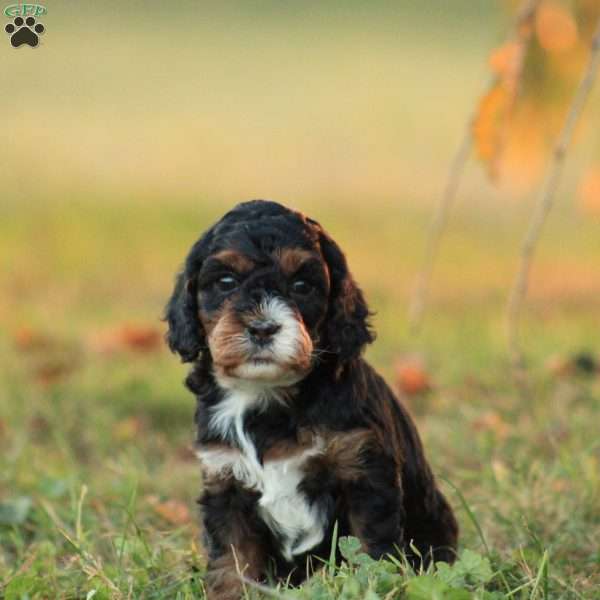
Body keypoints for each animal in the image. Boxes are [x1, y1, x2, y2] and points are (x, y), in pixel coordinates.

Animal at [163, 199, 454, 596]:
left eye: (301, 285)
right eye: (226, 282)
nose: (263, 328)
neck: (265, 396)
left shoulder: (365, 475)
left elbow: (371, 551)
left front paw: (374, 588)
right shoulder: (226, 482)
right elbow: (231, 563)